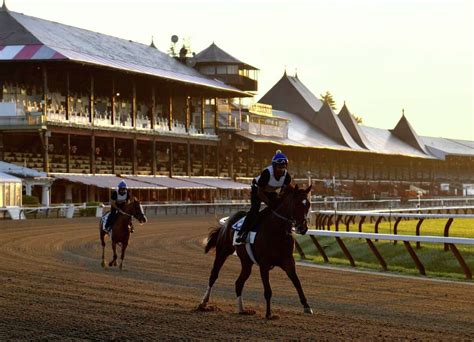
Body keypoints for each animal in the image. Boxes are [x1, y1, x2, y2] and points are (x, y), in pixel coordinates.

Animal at [198, 183, 312, 320]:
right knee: (214, 275)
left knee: (239, 283)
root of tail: (227, 223)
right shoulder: (264, 264)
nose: (303, 228)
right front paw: (269, 314)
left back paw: (242, 309)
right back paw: (203, 303)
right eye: (296, 204)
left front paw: (307, 306)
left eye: (308, 204)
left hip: (246, 262)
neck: (277, 231)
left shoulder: (288, 261)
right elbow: (268, 290)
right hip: (223, 251)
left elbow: (297, 283)